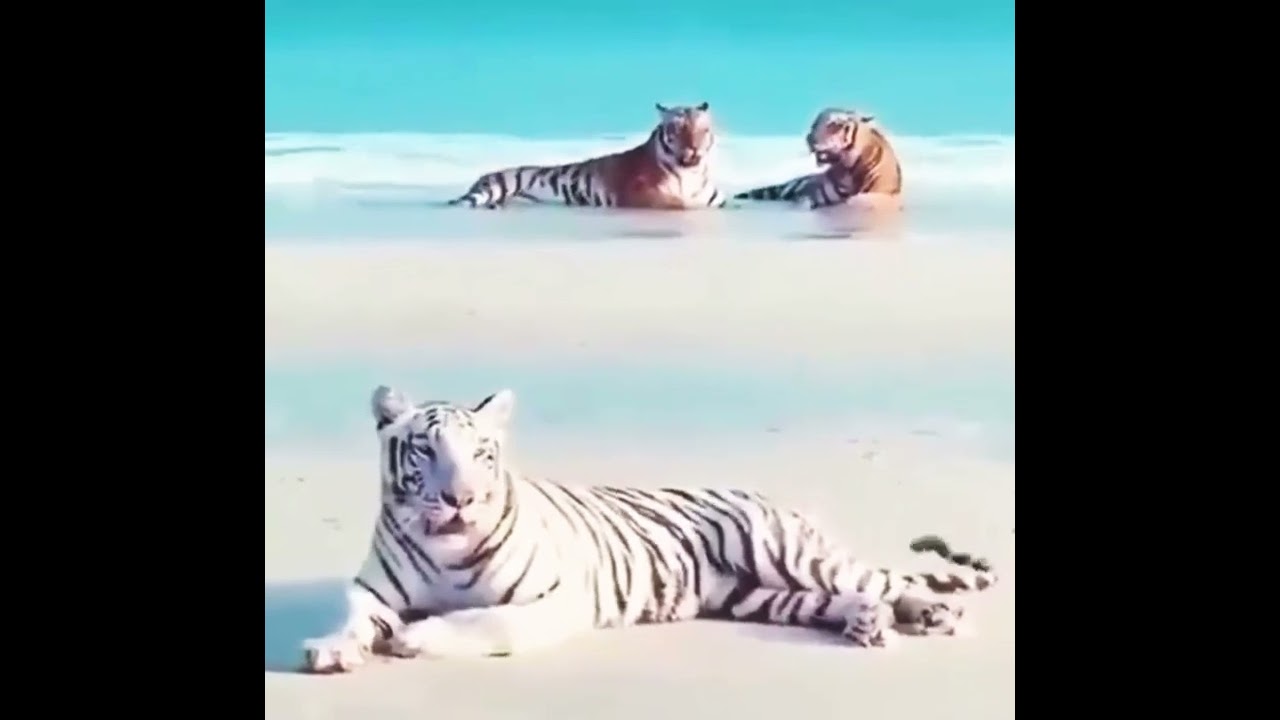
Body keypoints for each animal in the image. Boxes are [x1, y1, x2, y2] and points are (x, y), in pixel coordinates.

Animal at [301, 386, 997, 672]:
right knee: (843, 599)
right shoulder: (372, 592)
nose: (461, 498)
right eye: (425, 449)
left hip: (786, 555)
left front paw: (417, 638)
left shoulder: (554, 601)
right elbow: (354, 618)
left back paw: (931, 614)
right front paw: (333, 648)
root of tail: (771, 495)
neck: (444, 549)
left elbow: (483, 621)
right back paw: (868, 624)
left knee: (883, 579)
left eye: (481, 454)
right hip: (757, 596)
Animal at [448, 102, 727, 210]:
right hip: (495, 186)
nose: (694, 148)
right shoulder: (639, 194)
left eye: (702, 130)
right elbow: (676, 202)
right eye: (678, 129)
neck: (690, 172)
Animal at [734, 108, 903, 211]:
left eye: (835, 124)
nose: (809, 138)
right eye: (814, 124)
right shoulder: (810, 195)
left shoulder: (880, 194)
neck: (850, 169)